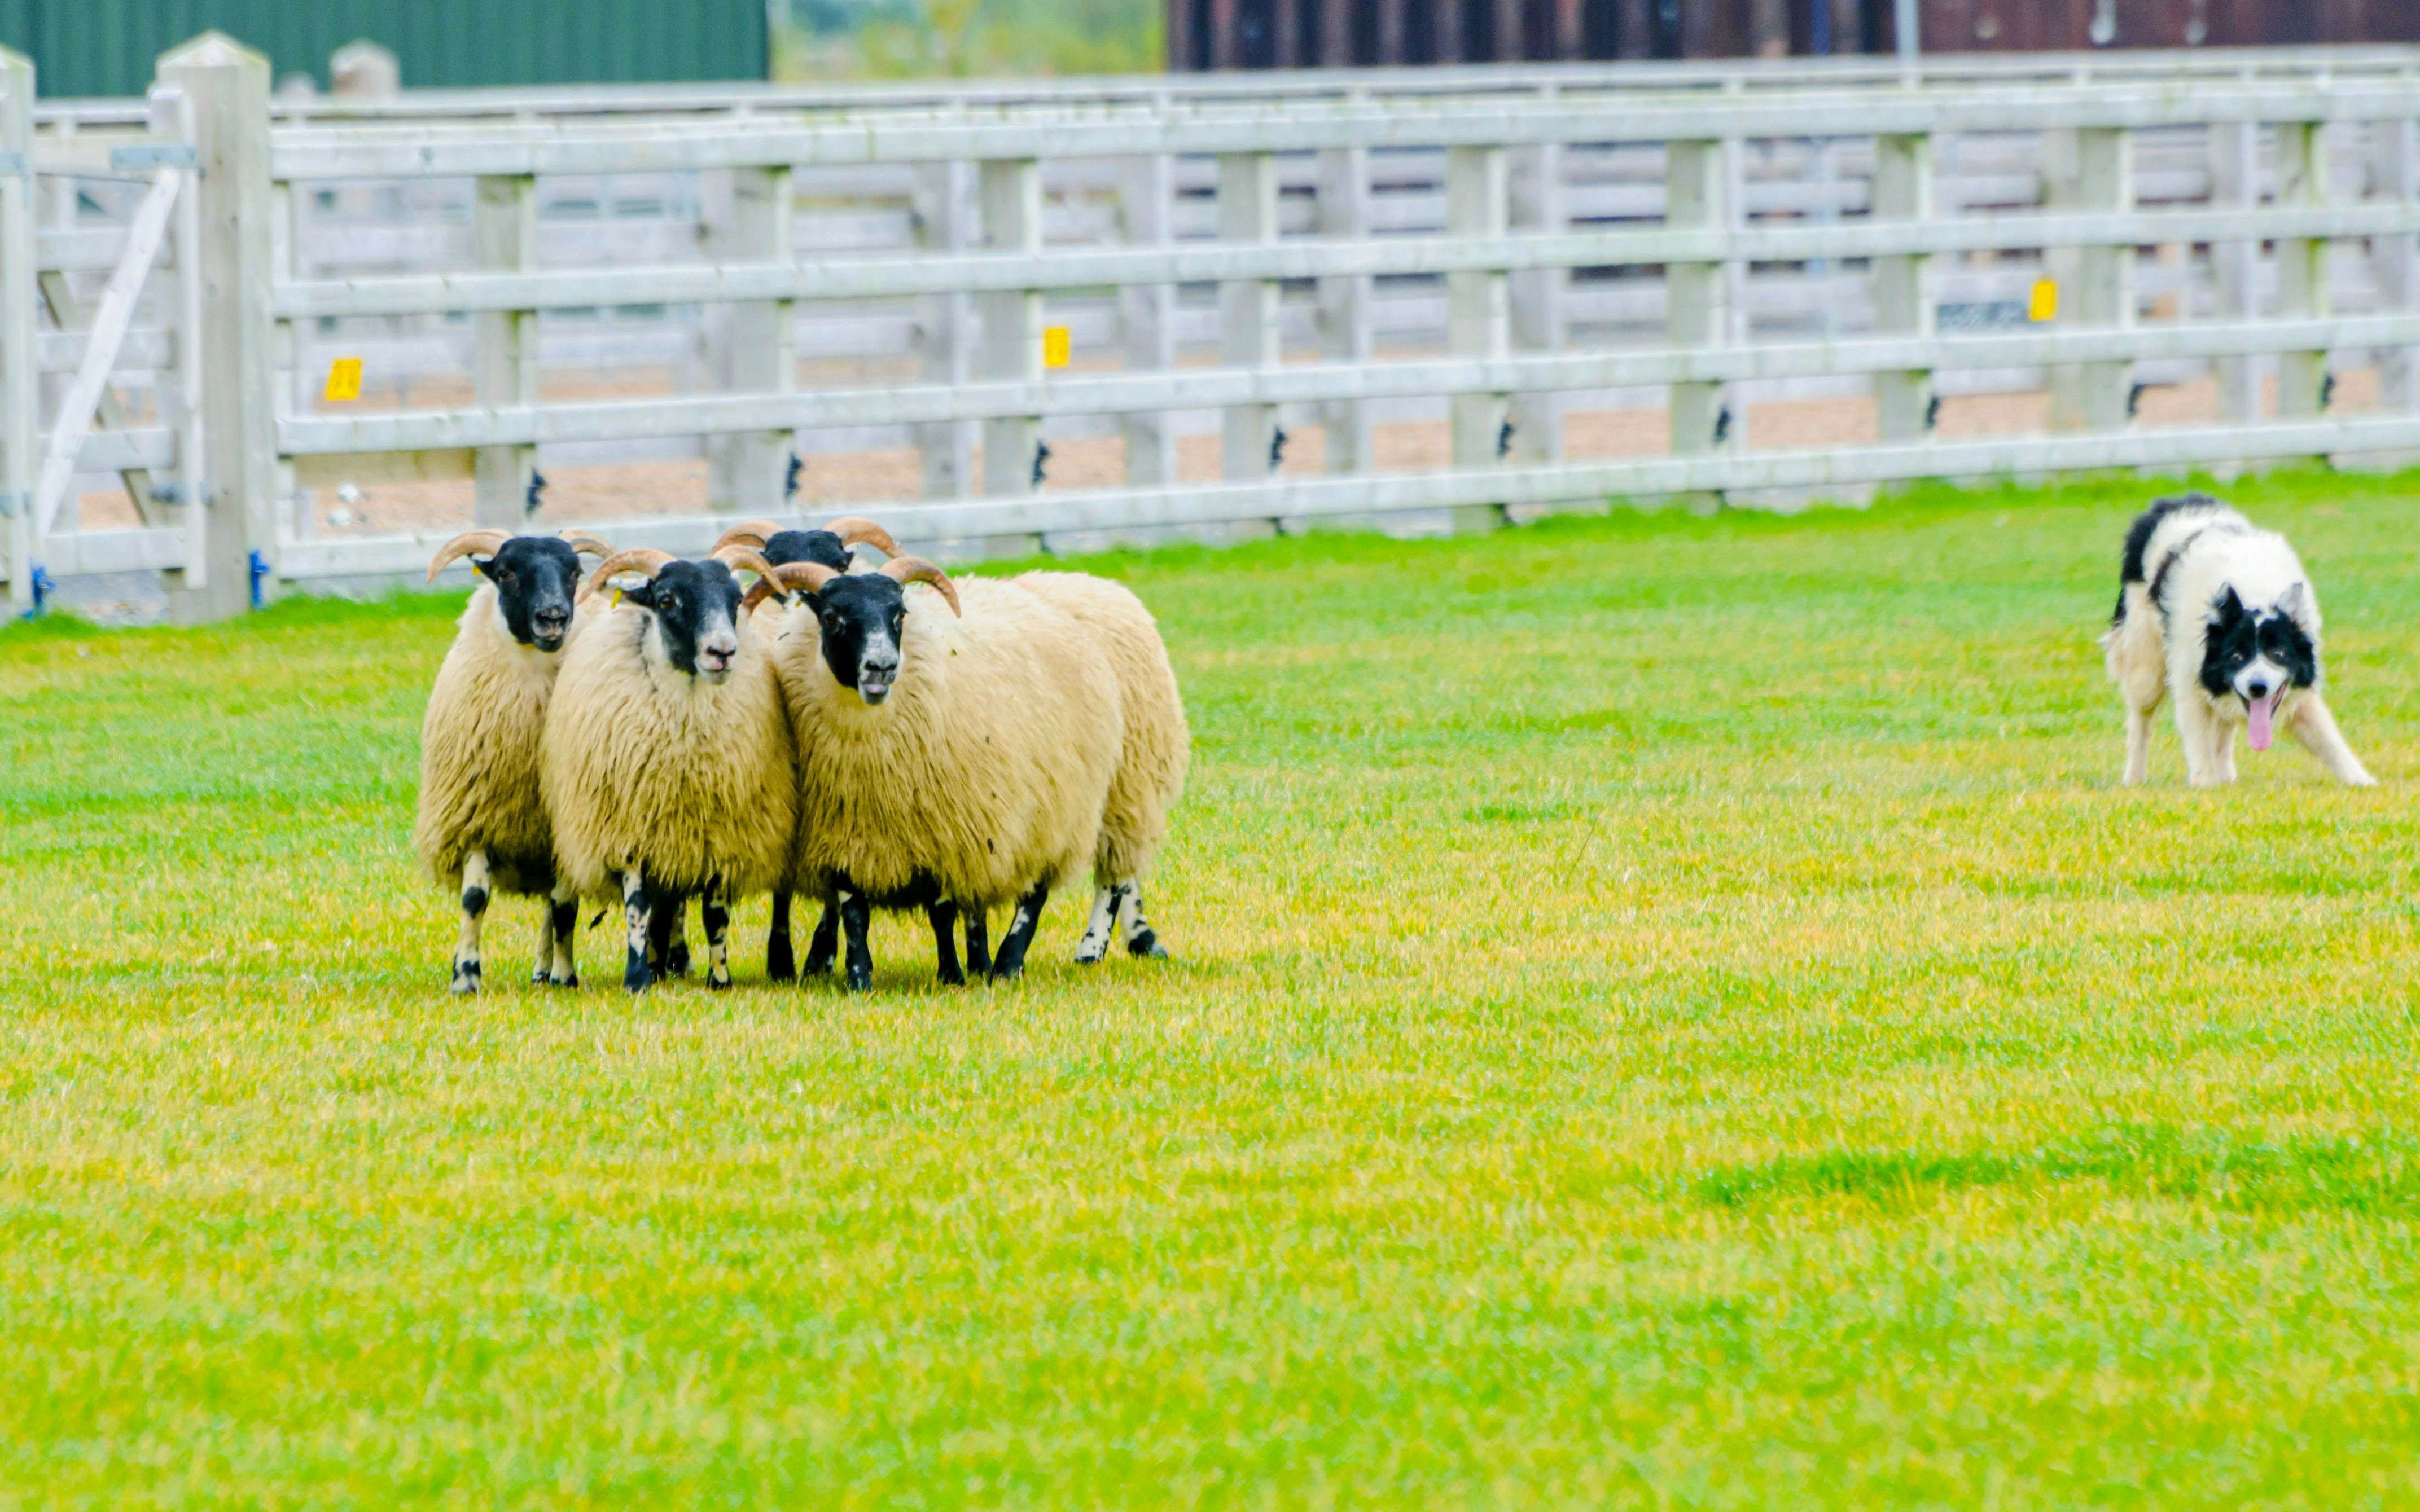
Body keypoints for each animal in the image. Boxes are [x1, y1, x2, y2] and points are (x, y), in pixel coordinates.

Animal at [414, 527, 615, 994]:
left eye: (575, 572)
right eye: (505, 572)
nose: (554, 617)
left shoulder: (565, 827)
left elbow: (564, 909)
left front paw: (566, 974)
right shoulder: (477, 815)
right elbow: (474, 900)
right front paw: (465, 976)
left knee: (552, 906)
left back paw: (549, 971)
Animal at [543, 544, 797, 993]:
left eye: (736, 599)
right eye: (666, 601)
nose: (723, 652)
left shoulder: (721, 834)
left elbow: (715, 914)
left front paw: (720, 980)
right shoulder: (628, 830)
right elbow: (636, 908)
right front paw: (636, 981)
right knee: (565, 905)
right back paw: (567, 974)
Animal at [752, 555, 1123, 989]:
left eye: (899, 615)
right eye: (831, 617)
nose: (882, 667)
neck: (870, 759)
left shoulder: (945, 830)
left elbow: (942, 912)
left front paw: (951, 976)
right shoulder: (842, 830)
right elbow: (854, 912)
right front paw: (859, 979)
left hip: (1055, 810)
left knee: (1035, 894)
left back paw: (1006, 965)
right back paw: (984, 962)